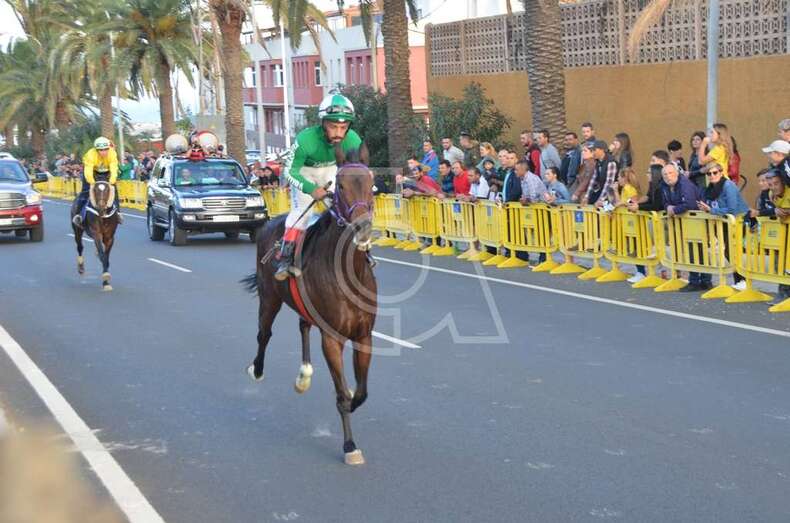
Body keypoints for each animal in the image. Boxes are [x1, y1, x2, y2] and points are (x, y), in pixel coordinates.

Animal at [241, 145, 377, 466]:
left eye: (371, 182)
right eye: (340, 186)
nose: (363, 227)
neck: (349, 272)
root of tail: (270, 221)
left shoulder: (364, 335)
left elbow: (360, 393)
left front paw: (351, 396)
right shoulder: (332, 337)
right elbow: (342, 395)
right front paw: (350, 445)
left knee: (303, 324)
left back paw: (304, 375)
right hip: (269, 297)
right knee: (264, 334)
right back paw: (257, 368)